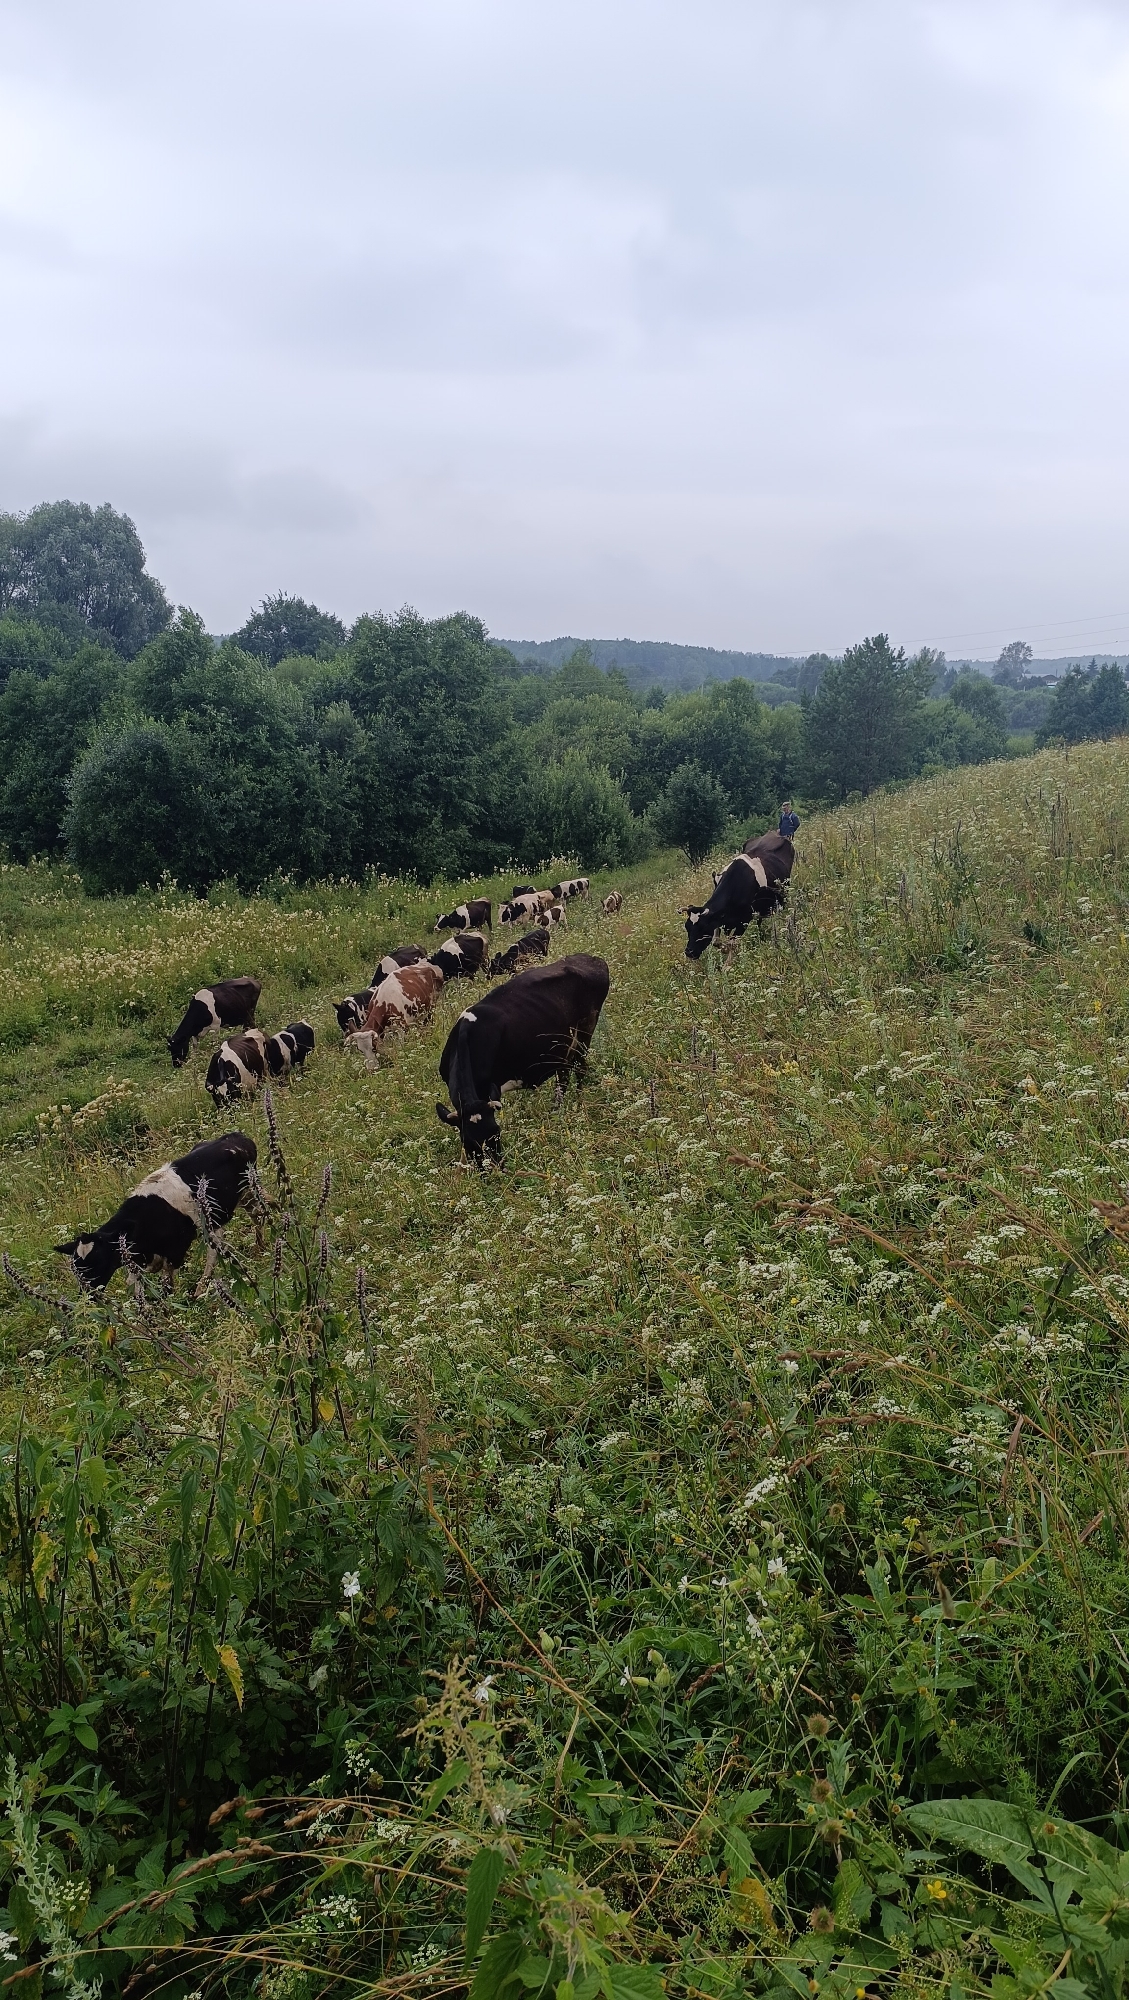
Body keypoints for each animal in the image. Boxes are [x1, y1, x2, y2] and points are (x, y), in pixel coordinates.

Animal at [55, 1132, 258, 1295]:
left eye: (97, 1261)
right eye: (76, 1268)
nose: (88, 1295)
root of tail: (235, 1136)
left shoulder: (176, 1249)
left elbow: (166, 1284)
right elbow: (136, 1285)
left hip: (249, 1191)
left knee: (256, 1217)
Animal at [435, 952, 611, 1164]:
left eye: (496, 1133)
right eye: (468, 1143)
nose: (495, 1169)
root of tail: (591, 958)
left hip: (585, 1032)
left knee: (579, 1068)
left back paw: (578, 1103)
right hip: (564, 1045)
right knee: (564, 1074)